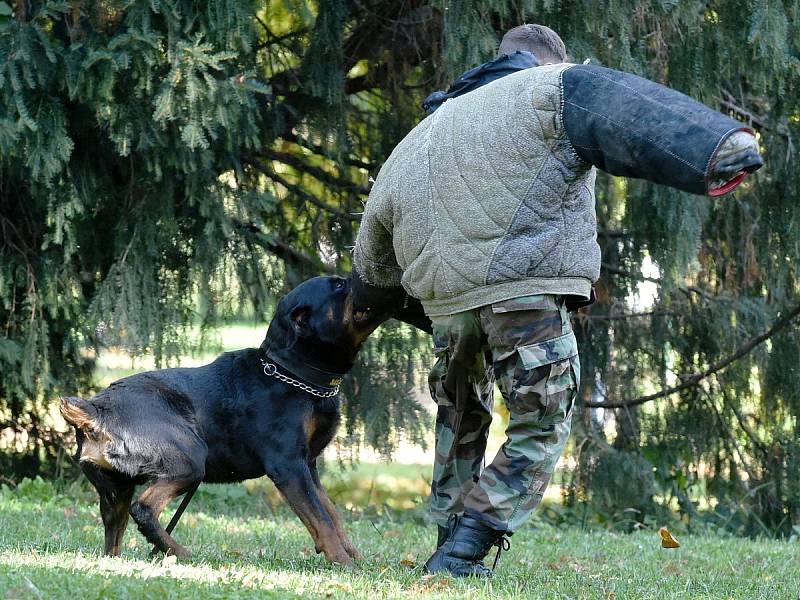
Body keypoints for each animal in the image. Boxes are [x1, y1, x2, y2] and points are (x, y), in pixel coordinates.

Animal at [61, 274, 390, 564]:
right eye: (339, 285)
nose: (365, 279)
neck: (293, 373)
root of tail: (95, 410)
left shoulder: (308, 465)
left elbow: (332, 513)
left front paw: (354, 557)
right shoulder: (289, 467)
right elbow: (321, 519)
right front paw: (343, 564)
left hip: (116, 489)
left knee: (114, 535)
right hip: (190, 458)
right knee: (144, 509)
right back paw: (180, 554)